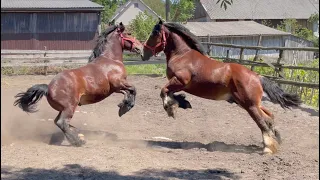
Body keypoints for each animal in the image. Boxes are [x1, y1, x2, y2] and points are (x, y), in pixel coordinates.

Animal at [13, 22, 144, 146]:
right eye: (129, 33)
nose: (141, 48)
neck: (110, 60)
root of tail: (48, 88)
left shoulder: (115, 88)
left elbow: (128, 92)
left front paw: (123, 105)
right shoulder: (119, 83)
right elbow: (133, 89)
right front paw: (125, 107)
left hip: (63, 109)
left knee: (58, 122)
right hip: (70, 107)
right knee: (62, 123)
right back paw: (78, 141)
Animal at [143, 20, 302, 155]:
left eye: (154, 34)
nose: (143, 53)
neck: (182, 55)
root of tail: (257, 77)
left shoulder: (180, 81)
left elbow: (163, 91)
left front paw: (171, 109)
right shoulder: (179, 85)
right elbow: (169, 93)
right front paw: (183, 102)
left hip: (249, 105)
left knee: (263, 121)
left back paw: (268, 148)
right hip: (248, 103)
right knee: (269, 117)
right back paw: (275, 140)